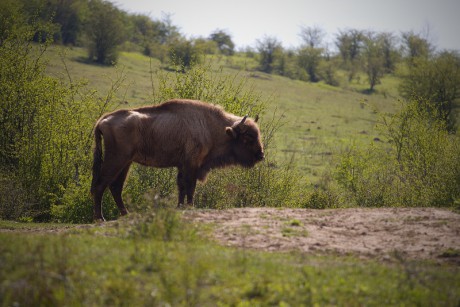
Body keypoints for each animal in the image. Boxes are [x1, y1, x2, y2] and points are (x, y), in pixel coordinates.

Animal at [90, 99, 264, 221]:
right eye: (248, 137)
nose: (261, 155)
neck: (211, 127)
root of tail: (102, 120)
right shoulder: (192, 165)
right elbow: (190, 187)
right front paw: (190, 206)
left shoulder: (182, 166)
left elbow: (181, 187)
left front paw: (179, 207)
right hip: (116, 160)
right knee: (101, 185)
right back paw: (100, 218)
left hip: (126, 163)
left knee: (115, 187)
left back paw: (126, 214)